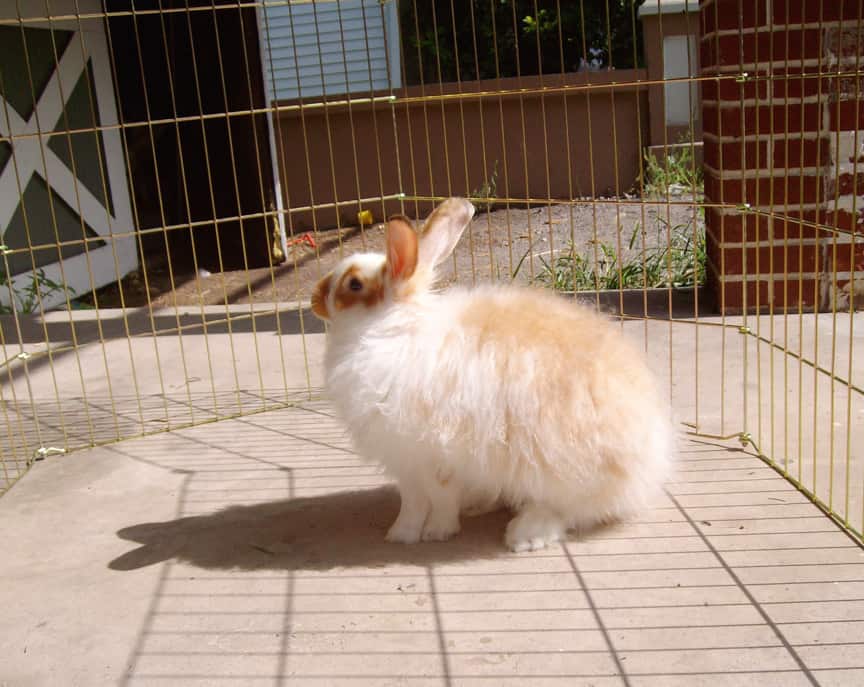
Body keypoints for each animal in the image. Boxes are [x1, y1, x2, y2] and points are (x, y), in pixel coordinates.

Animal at [311, 197, 674, 552]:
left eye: (353, 283)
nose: (315, 297)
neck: (391, 328)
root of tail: (652, 457)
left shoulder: (429, 458)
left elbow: (433, 500)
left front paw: (426, 533)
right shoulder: (408, 464)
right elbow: (415, 501)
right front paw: (407, 533)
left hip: (562, 470)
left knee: (569, 509)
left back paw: (525, 535)